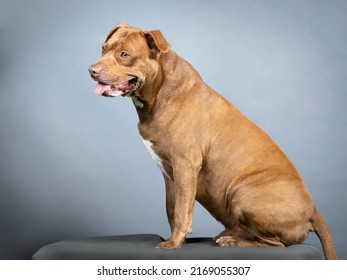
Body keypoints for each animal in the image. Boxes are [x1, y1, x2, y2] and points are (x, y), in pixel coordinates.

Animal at [89, 23, 338, 260]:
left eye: (124, 54)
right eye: (103, 48)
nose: (92, 70)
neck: (160, 92)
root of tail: (313, 210)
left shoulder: (185, 166)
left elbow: (181, 211)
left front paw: (173, 243)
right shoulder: (170, 174)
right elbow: (172, 209)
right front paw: (176, 239)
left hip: (242, 195)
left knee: (277, 244)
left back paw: (233, 241)